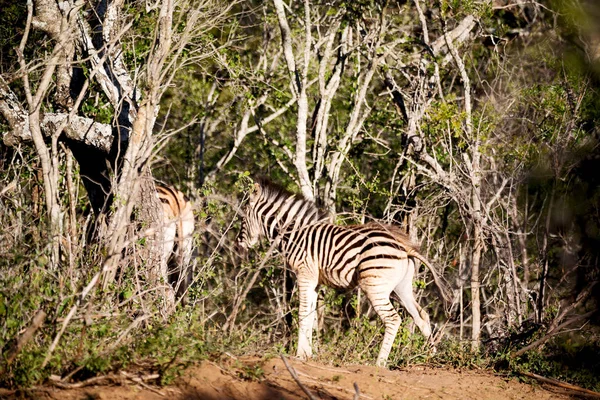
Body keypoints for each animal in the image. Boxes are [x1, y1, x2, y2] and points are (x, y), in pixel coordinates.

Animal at [237, 180, 442, 368]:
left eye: (242, 219)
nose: (239, 244)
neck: (293, 234)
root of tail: (404, 246)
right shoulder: (314, 281)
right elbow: (311, 314)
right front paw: (308, 354)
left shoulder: (304, 274)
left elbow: (303, 313)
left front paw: (299, 355)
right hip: (401, 288)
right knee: (422, 316)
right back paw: (430, 357)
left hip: (374, 286)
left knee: (393, 319)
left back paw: (379, 363)